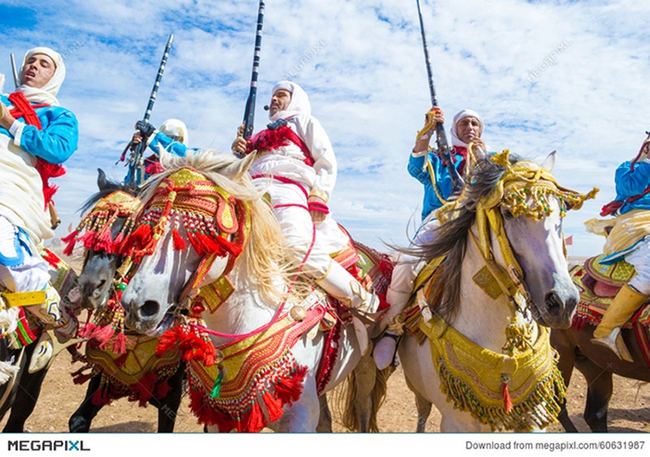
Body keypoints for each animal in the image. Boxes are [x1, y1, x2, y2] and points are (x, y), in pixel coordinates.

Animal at [118, 151, 388, 432]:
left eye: (203, 232)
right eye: (147, 225)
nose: (137, 306)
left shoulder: (300, 418)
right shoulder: (218, 420)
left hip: (366, 367)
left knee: (363, 410)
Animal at [392, 151, 596, 432]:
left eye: (560, 217)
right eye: (508, 213)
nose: (563, 302)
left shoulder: (534, 414)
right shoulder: (456, 422)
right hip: (417, 390)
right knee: (422, 413)